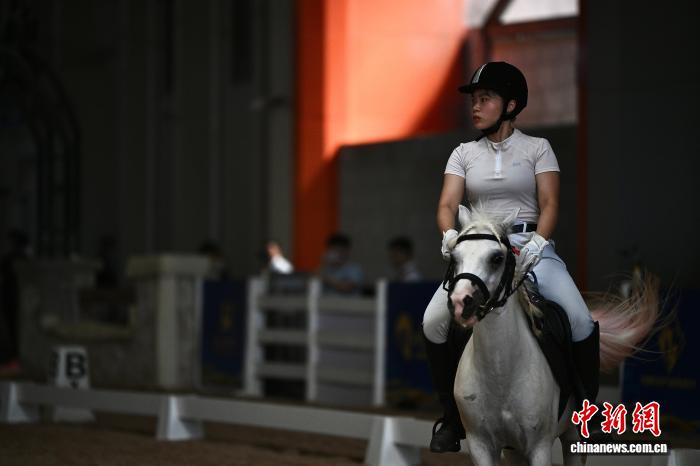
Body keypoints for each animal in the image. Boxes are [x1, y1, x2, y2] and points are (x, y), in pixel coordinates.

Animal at [444, 205, 659, 466]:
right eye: (454, 257)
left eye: (496, 258)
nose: (460, 302)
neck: (500, 369)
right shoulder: (480, 445)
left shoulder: (540, 446)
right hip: (513, 451)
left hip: (572, 437)